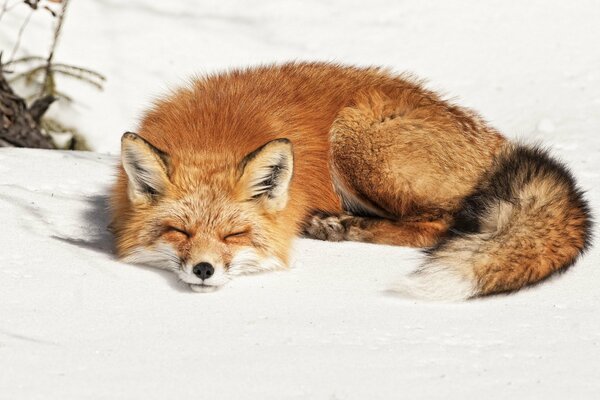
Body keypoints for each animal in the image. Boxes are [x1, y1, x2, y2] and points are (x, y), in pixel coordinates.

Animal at [108, 61, 592, 300]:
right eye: (179, 230)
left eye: (235, 235)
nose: (204, 270)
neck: (213, 135)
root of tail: (498, 142)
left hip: (355, 138)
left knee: (438, 225)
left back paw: (340, 226)